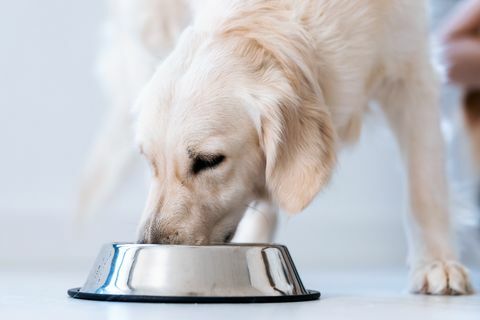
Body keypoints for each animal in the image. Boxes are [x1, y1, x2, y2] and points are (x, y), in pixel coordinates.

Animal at [79, 0, 472, 296]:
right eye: (150, 162)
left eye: (209, 161)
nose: (150, 243)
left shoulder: (412, 71)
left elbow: (425, 187)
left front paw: (437, 264)